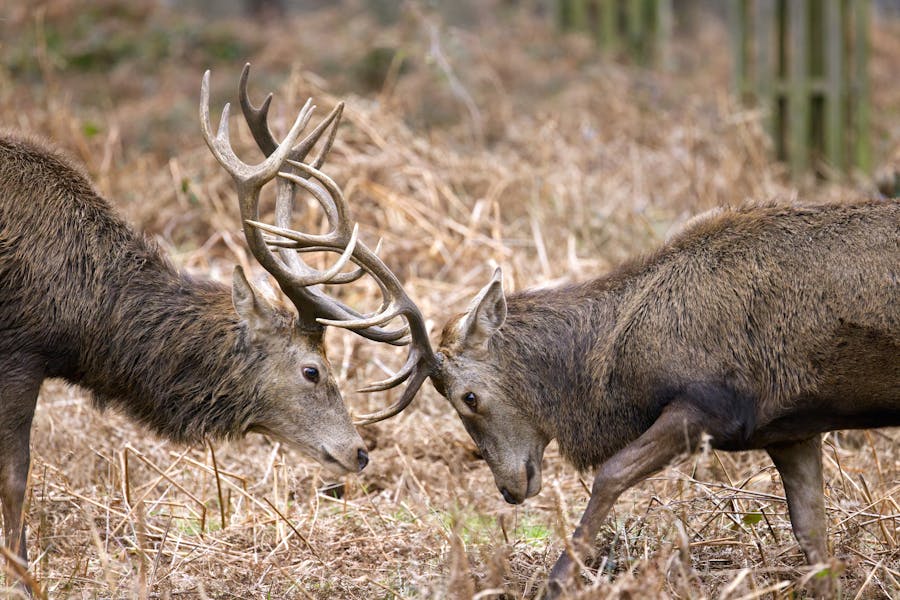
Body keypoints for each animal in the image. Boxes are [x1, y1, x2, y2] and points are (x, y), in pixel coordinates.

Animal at [0, 65, 418, 584]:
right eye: (312, 370)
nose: (359, 452)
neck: (82, 320)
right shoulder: (20, 351)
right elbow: (16, 475)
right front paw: (23, 578)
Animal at [332, 198, 900, 596]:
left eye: (468, 398)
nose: (510, 488)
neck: (621, 371)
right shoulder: (792, 430)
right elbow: (814, 541)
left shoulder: (713, 405)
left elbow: (610, 473)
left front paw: (560, 578)